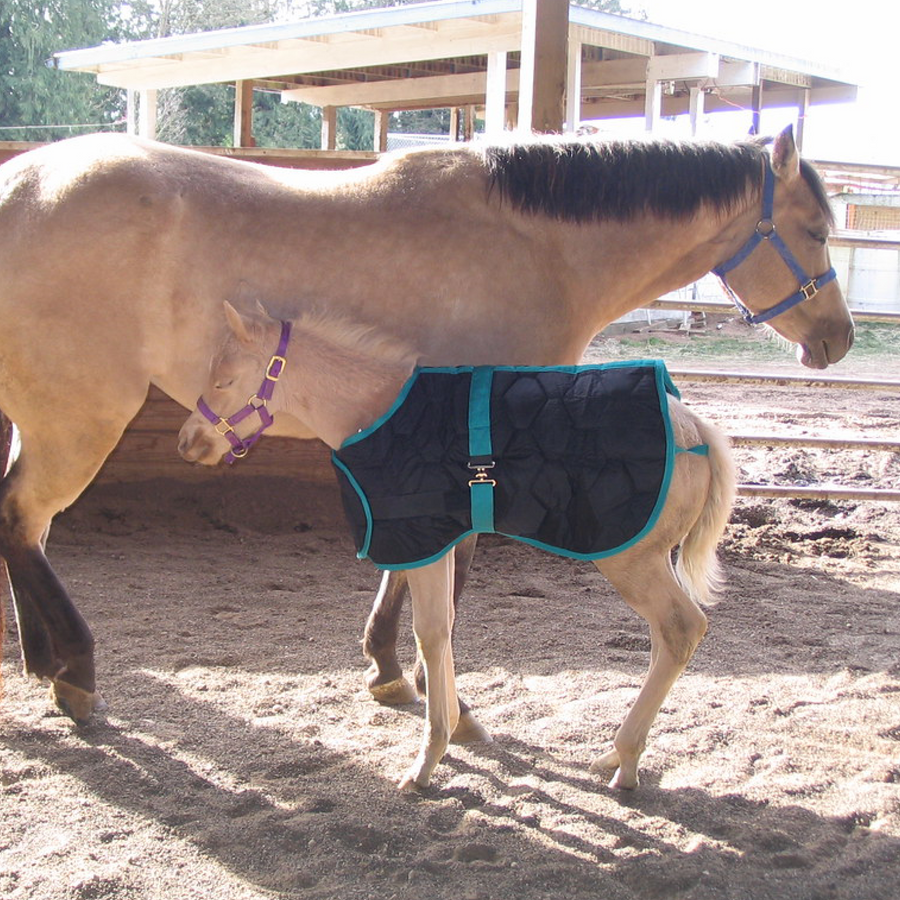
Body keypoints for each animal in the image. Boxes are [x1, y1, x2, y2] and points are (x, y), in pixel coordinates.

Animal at [0, 125, 851, 724]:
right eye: (815, 229)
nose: (838, 338)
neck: (539, 248)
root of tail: (17, 186)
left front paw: (383, 665)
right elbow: (453, 562)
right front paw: (415, 679)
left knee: (18, 521)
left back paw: (43, 661)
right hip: (79, 417)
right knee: (25, 516)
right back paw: (76, 672)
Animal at [178, 300, 736, 789]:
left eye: (224, 379)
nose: (188, 441)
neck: (380, 413)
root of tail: (697, 428)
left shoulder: (425, 542)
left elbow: (428, 631)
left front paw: (428, 758)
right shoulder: (440, 542)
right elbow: (443, 627)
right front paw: (450, 726)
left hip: (632, 558)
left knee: (681, 628)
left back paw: (625, 760)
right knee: (670, 634)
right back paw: (616, 758)